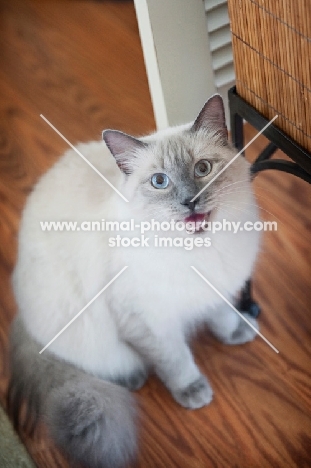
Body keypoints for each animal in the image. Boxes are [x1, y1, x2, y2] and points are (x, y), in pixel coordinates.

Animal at [7, 95, 260, 468]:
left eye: (202, 169)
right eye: (159, 182)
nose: (189, 202)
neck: (202, 250)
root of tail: (21, 316)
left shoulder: (214, 289)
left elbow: (222, 317)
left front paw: (237, 333)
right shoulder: (147, 321)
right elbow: (176, 360)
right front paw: (193, 391)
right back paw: (132, 378)